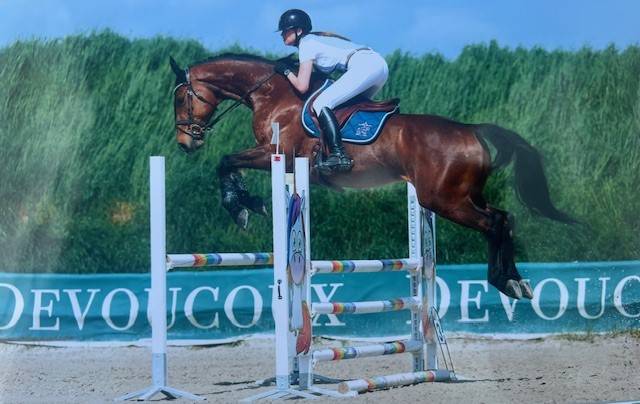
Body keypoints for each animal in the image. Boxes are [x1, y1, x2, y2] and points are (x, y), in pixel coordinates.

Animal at [169, 53, 576, 300]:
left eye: (180, 98)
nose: (186, 142)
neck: (274, 95)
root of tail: (470, 130)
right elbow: (229, 163)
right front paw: (245, 202)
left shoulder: (274, 154)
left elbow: (225, 161)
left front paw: (240, 205)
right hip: (463, 194)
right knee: (505, 219)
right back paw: (516, 281)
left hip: (443, 199)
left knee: (493, 223)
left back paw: (502, 281)